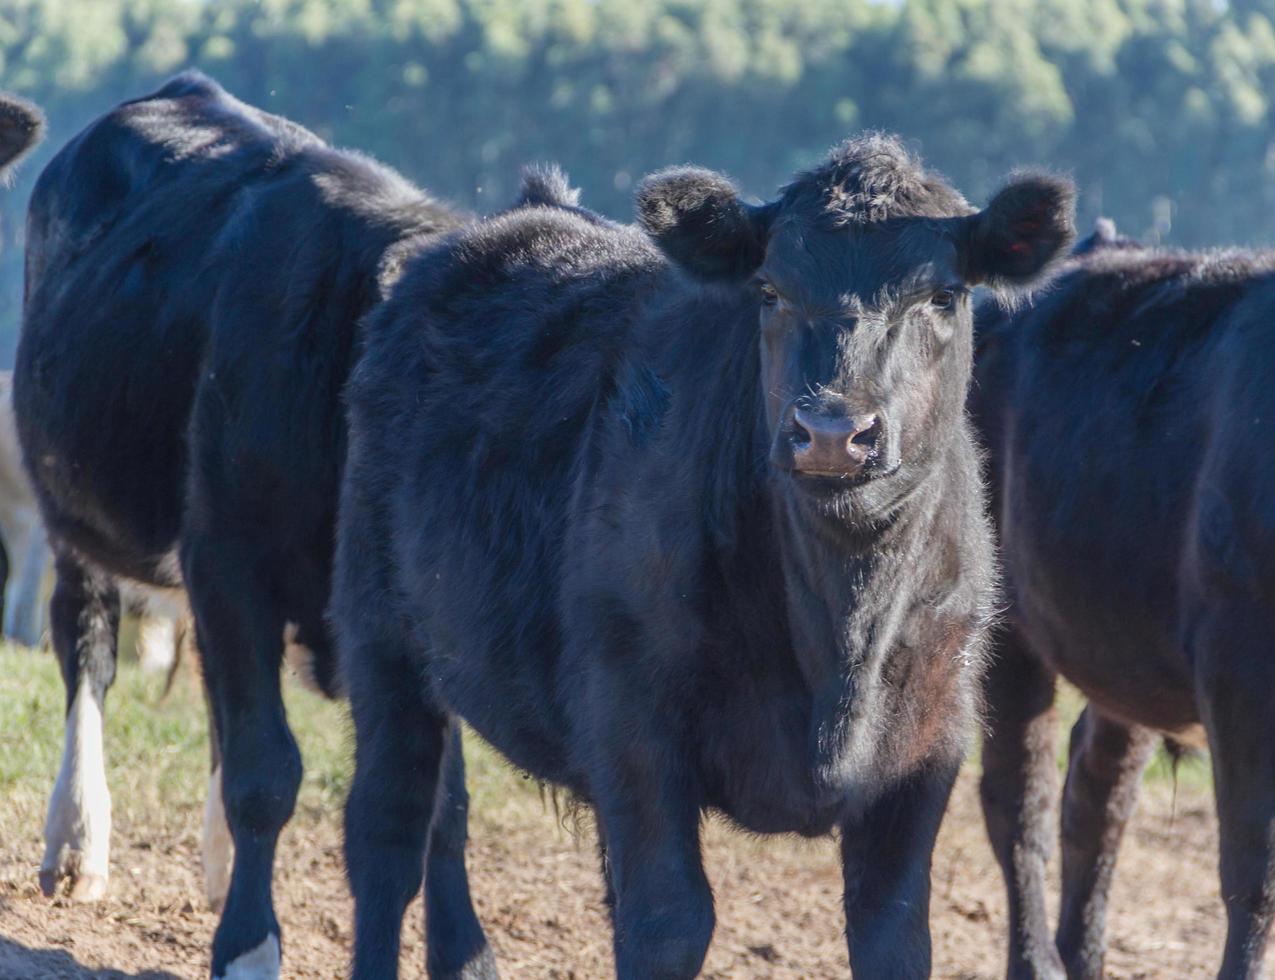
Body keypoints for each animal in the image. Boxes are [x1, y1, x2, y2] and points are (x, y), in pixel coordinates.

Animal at [16, 74, 492, 978]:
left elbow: (444, 810)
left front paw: (466, 953)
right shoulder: (231, 560)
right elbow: (266, 772)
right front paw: (247, 944)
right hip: (76, 511)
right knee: (86, 647)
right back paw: (78, 837)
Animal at [974, 221, 1275, 978]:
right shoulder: (1241, 661)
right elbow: (1254, 868)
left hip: (1121, 647)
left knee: (1094, 794)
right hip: (1004, 628)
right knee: (1018, 800)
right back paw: (1036, 963)